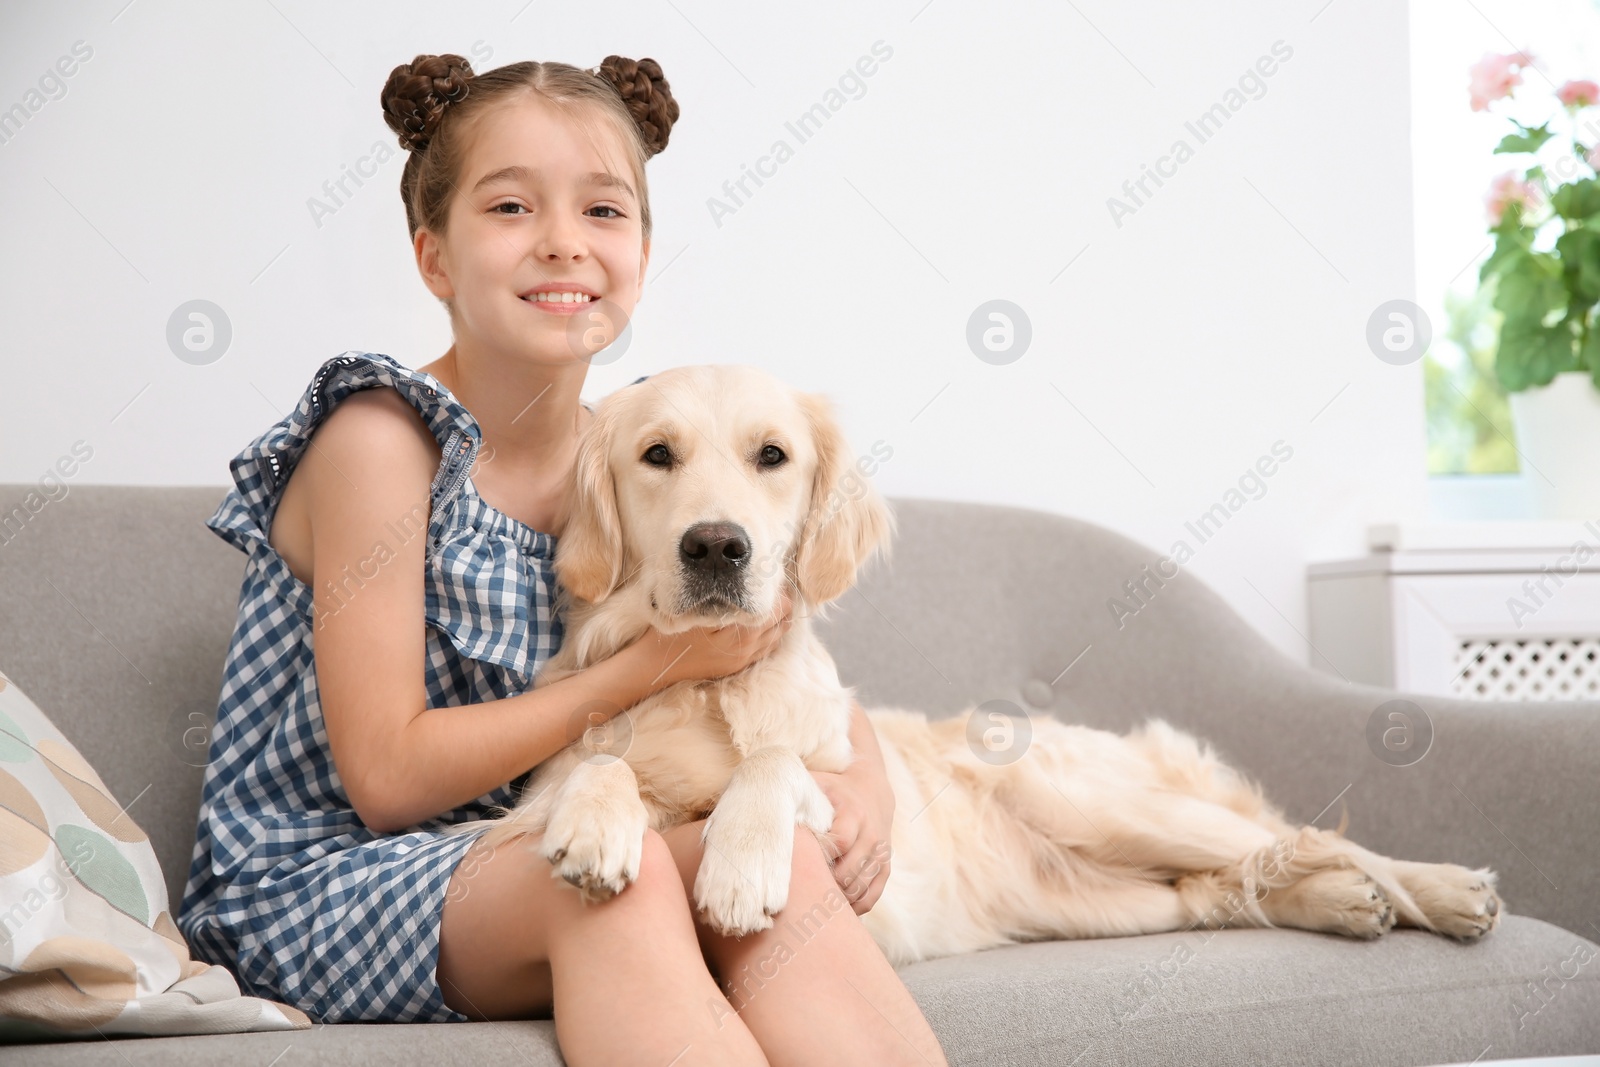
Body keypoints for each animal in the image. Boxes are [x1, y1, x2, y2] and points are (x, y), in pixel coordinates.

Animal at [457, 363, 1504, 966]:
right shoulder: (544, 787)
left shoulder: (845, 805)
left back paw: (1444, 890)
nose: (717, 547)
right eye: (656, 454)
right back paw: (1341, 903)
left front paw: (740, 863)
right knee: (1231, 884)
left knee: (1309, 837)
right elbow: (597, 763)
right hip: (1115, 894)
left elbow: (775, 762)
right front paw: (598, 826)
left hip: (1106, 805)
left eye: (772, 456)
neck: (712, 680)